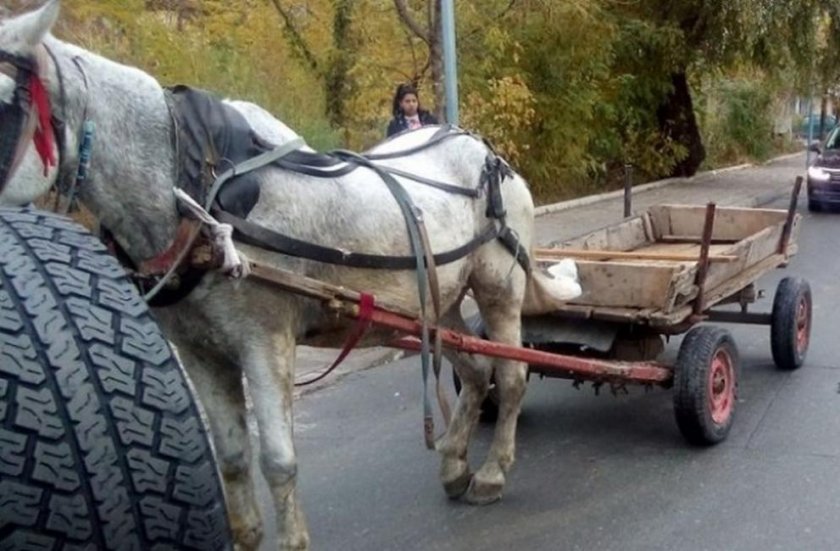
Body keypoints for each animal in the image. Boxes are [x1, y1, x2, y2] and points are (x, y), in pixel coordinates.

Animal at [0, 2, 576, 548]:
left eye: (7, 99)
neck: (199, 193)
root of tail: (488, 154)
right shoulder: (200, 352)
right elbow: (233, 458)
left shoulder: (265, 340)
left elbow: (277, 460)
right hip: (440, 301)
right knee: (477, 372)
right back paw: (455, 464)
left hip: (498, 287)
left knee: (511, 376)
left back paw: (492, 473)